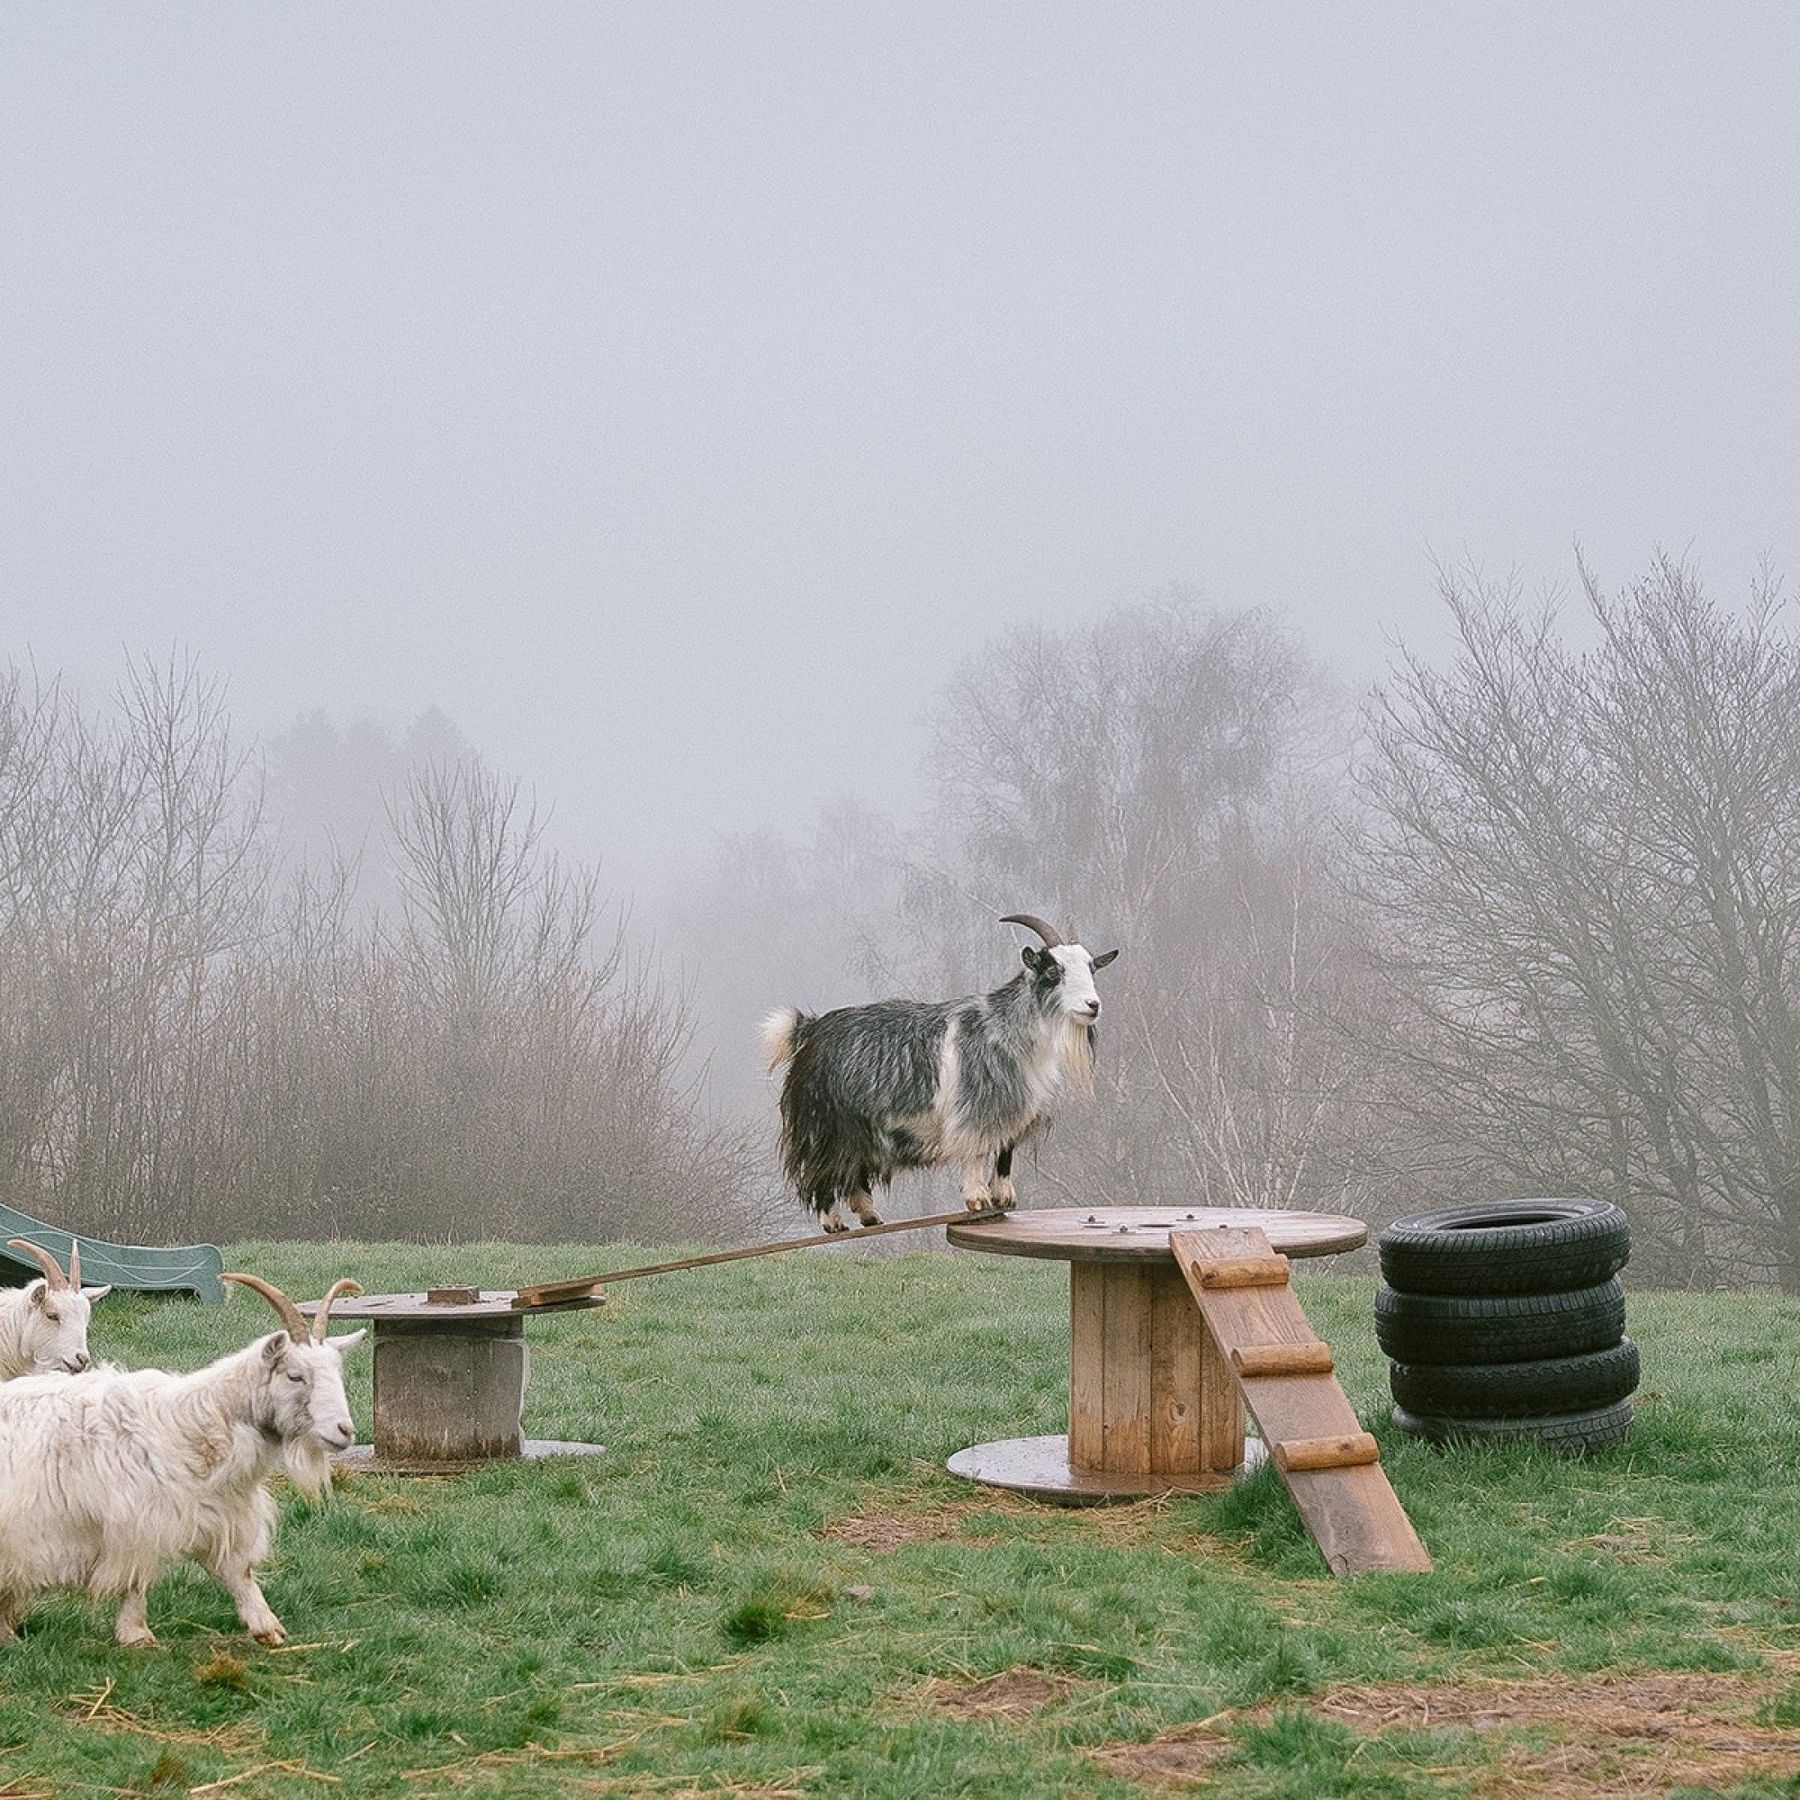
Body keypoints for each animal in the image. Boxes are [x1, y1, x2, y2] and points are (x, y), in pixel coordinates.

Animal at [0, 1272, 364, 1648]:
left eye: (337, 1373)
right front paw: (136, 1634)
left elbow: (239, 1571)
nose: (345, 1431)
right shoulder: (137, 1521)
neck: (194, 1422)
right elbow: (135, 1579)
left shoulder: (223, 1512)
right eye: (295, 1375)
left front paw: (267, 1627)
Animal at [762, 913, 1119, 1230]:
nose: (1093, 1005)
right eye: (1053, 973)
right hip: (824, 1123)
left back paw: (869, 1216)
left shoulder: (1013, 1109)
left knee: (852, 1169)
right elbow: (976, 1152)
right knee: (821, 1169)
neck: (1006, 1029)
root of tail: (811, 1028)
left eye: (1091, 970)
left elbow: (1005, 1153)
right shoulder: (977, 1108)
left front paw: (1004, 1198)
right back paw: (832, 1221)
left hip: (858, 1126)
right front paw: (978, 1199)